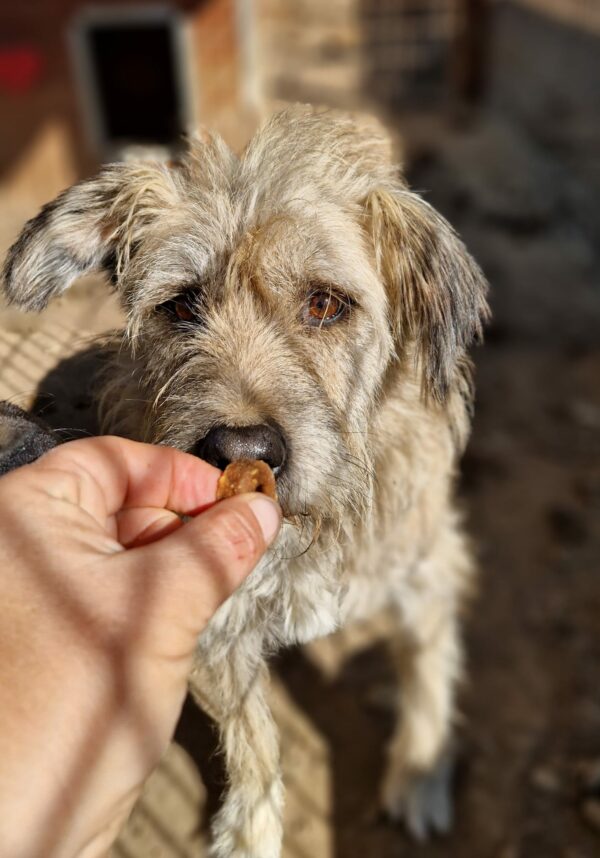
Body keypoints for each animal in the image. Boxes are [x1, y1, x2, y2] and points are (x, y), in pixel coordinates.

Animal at [2, 105, 488, 856]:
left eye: (325, 304)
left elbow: (429, 670)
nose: (239, 448)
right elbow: (252, 732)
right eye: (180, 306)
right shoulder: (213, 622)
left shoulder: (428, 568)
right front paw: (253, 832)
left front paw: (419, 771)